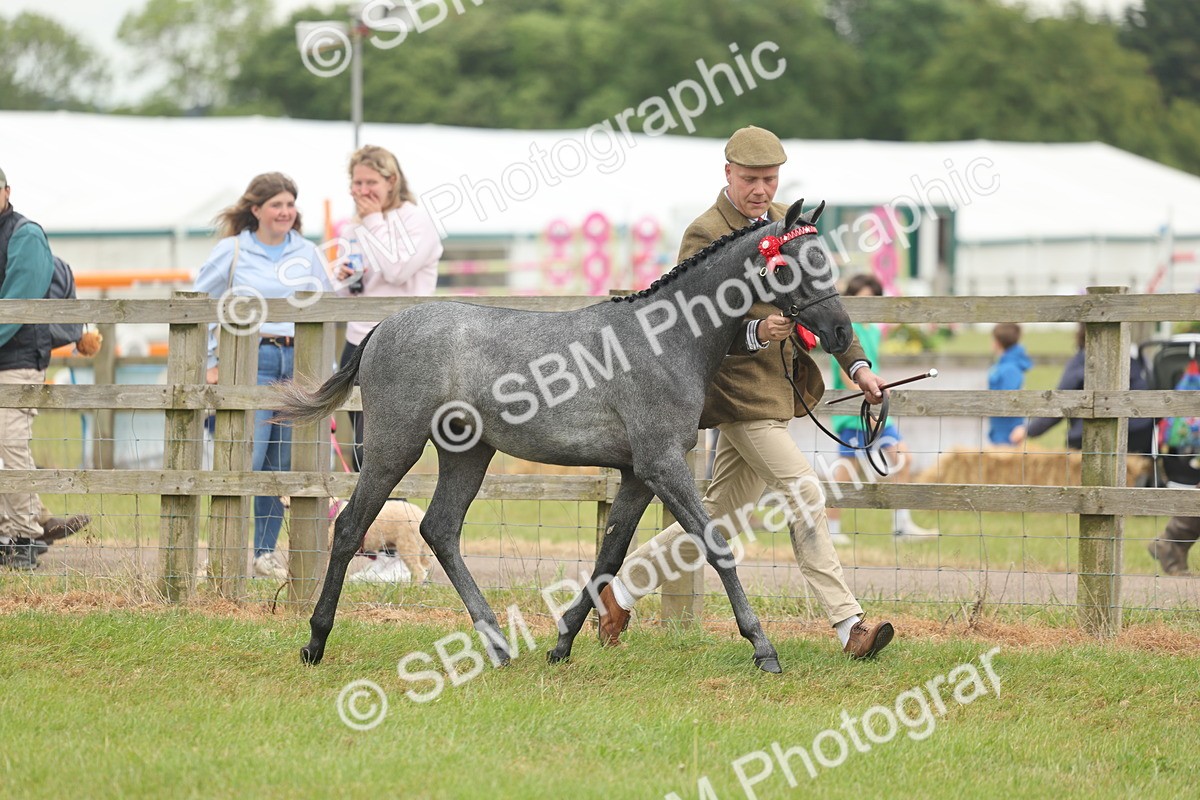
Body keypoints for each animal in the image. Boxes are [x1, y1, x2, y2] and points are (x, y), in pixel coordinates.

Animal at [275, 199, 852, 673]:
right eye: (788, 263)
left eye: (824, 257)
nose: (841, 332)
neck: (667, 339)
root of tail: (380, 330)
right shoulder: (662, 464)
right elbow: (713, 543)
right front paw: (763, 648)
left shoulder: (636, 474)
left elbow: (609, 556)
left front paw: (563, 643)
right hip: (394, 446)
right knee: (350, 527)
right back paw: (315, 642)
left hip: (468, 453)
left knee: (439, 529)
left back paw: (498, 645)